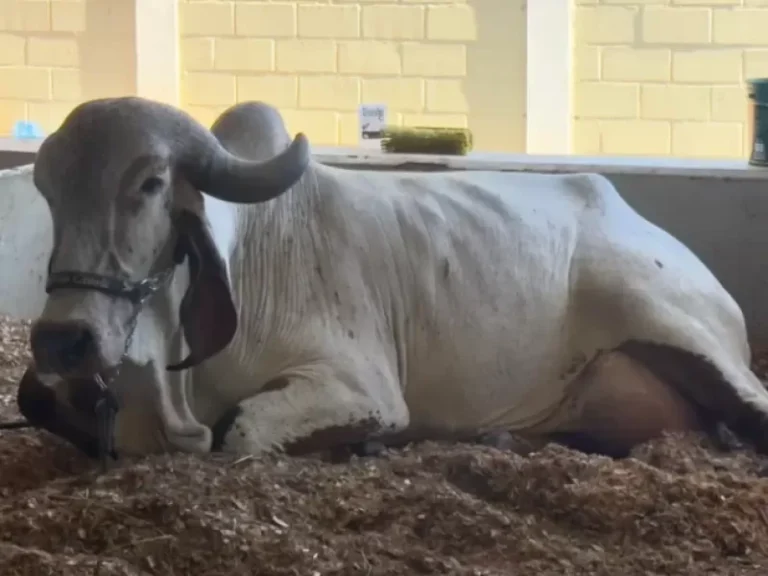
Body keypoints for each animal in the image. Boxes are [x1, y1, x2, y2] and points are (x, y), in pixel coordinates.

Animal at [15, 96, 768, 464]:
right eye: (46, 190)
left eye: (148, 184)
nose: (62, 341)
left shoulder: (359, 382)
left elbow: (240, 433)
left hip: (660, 313)